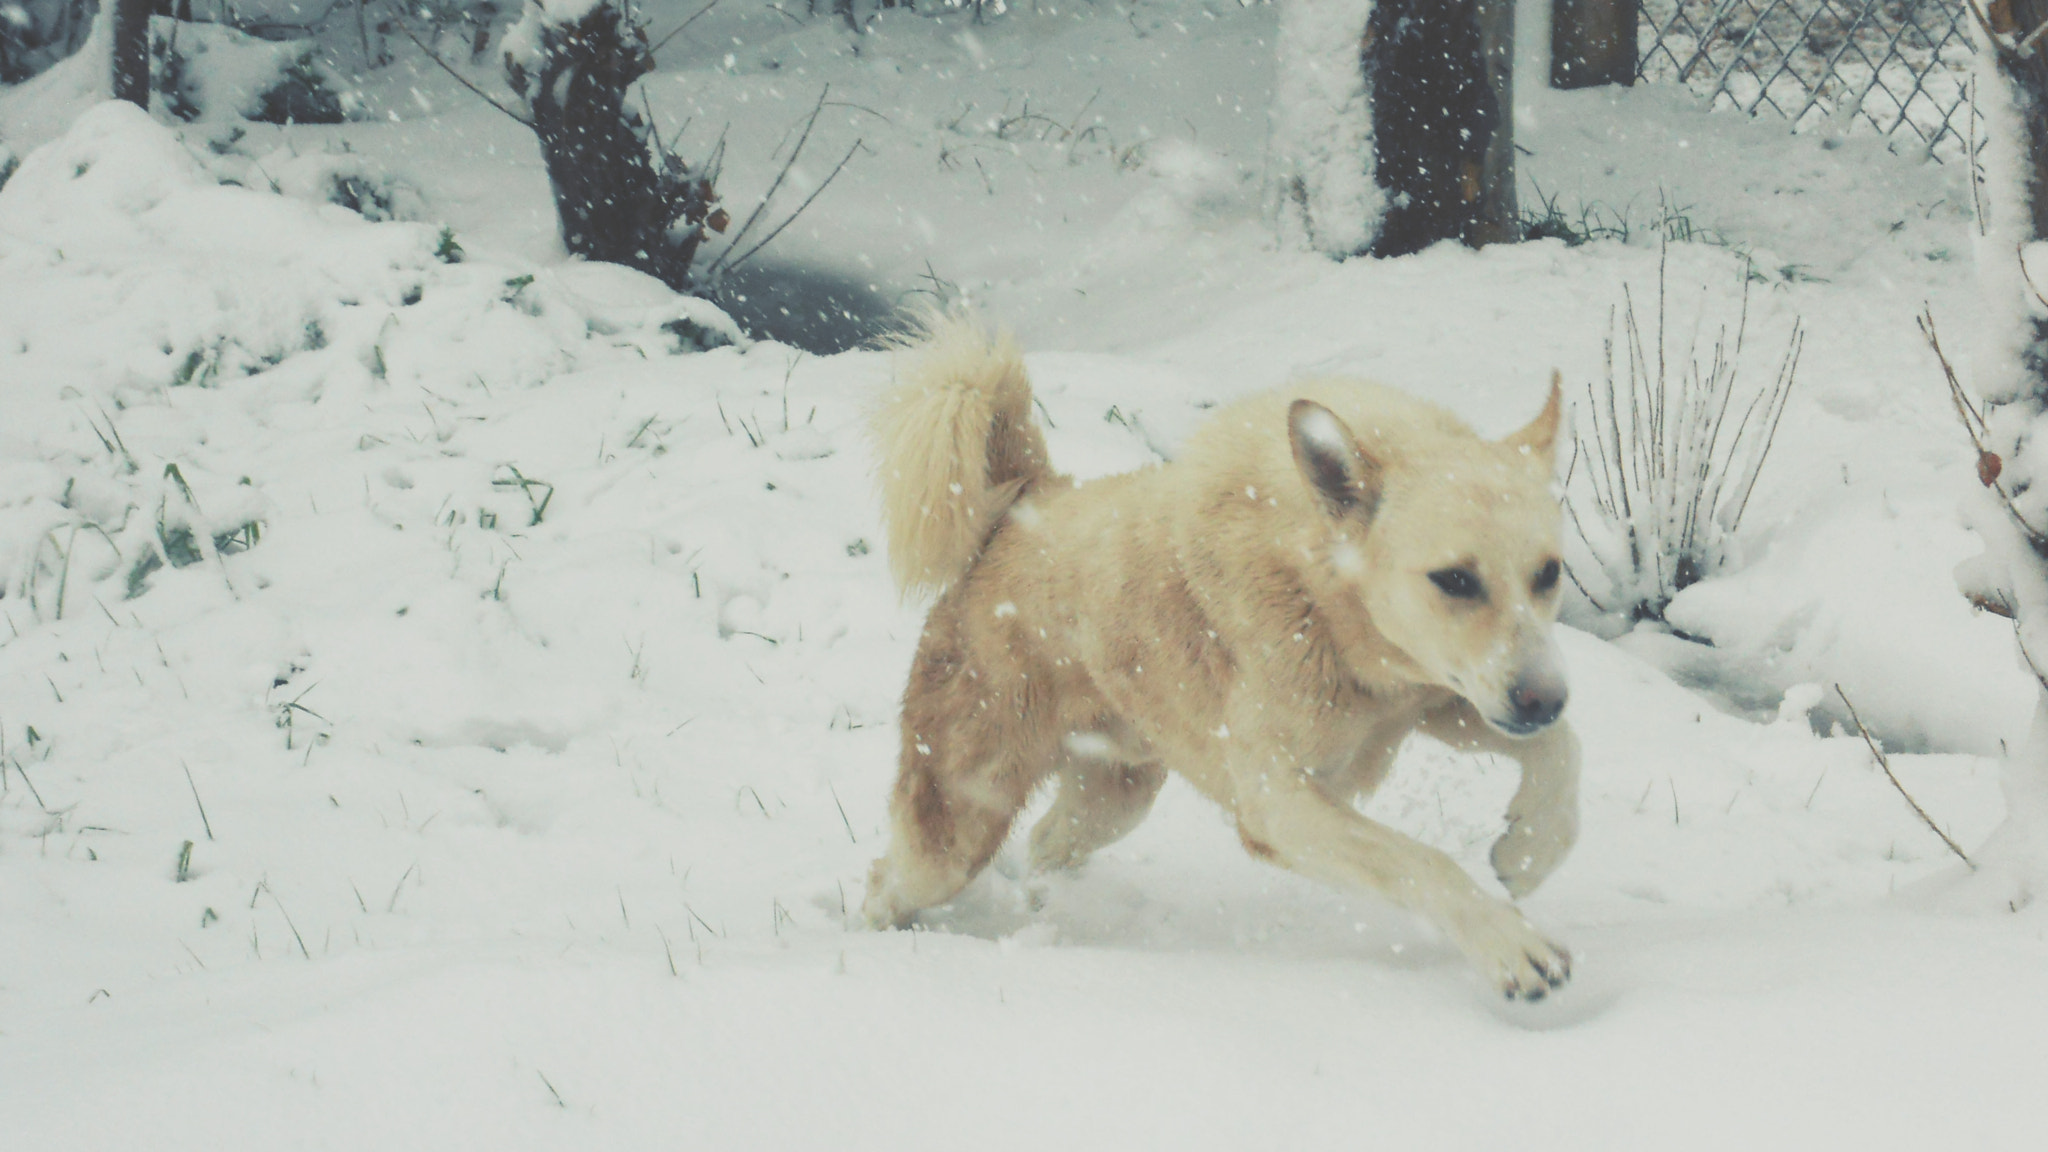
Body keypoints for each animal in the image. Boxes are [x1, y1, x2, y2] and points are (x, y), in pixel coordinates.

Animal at [856, 311, 1572, 996]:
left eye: (1550, 573)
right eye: (1454, 579)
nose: (1544, 698)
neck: (1327, 605)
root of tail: (1024, 502)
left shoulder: (1437, 703)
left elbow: (1560, 751)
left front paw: (1528, 853)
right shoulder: (1279, 805)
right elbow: (1422, 861)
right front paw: (1512, 947)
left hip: (1113, 799)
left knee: (1046, 842)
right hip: (961, 818)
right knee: (885, 883)